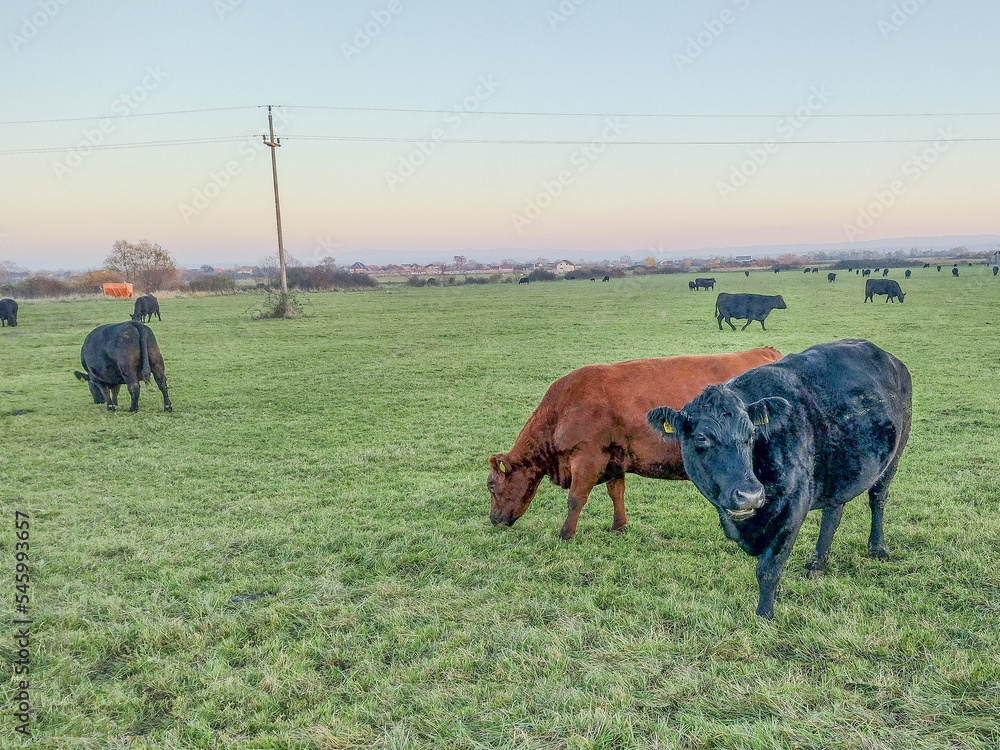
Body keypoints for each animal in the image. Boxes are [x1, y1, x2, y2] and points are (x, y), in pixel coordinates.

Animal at [488, 347, 783, 540]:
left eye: (491, 485)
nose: (493, 519)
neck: (565, 407)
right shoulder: (613, 459)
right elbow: (616, 493)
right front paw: (619, 527)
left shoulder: (588, 457)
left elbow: (575, 499)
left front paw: (565, 534)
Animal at [647, 339, 911, 618]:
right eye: (701, 438)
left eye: (752, 434)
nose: (750, 495)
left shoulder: (794, 505)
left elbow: (769, 566)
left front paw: (764, 614)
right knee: (833, 512)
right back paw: (817, 563)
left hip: (896, 453)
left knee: (878, 498)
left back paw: (878, 548)